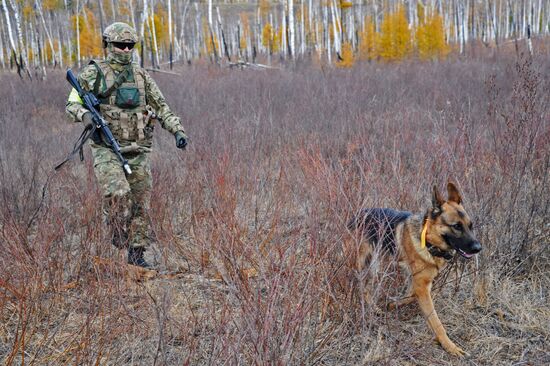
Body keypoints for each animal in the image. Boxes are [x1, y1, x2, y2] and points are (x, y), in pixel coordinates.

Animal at [350, 182, 484, 354]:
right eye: (456, 226)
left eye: (470, 225)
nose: (478, 248)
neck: (428, 241)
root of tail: (357, 214)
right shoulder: (421, 285)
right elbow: (436, 322)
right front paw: (450, 346)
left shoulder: (421, 283)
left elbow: (410, 295)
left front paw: (392, 304)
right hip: (366, 264)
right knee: (361, 285)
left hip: (375, 266)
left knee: (367, 287)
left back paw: (375, 308)